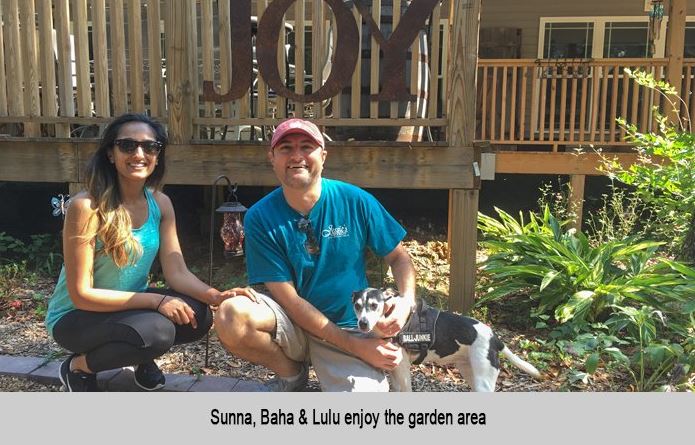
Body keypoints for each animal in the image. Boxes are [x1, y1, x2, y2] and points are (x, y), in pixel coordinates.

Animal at [354, 286, 544, 390]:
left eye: (374, 305)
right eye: (356, 306)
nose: (363, 323)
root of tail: (494, 338)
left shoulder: (403, 373)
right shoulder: (394, 372)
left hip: (484, 379)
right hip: (470, 372)